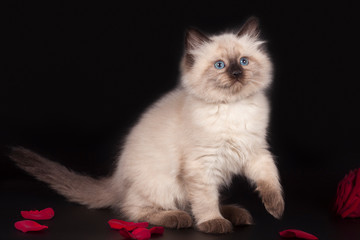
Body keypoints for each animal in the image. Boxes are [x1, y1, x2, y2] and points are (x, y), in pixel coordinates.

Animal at [9, 17, 284, 234]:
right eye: (220, 65)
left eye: (244, 61)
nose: (236, 74)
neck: (233, 108)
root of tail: (116, 181)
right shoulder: (201, 165)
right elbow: (205, 201)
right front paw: (213, 223)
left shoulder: (255, 151)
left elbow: (269, 177)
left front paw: (276, 208)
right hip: (162, 185)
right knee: (136, 210)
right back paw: (179, 218)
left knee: (192, 203)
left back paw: (235, 214)